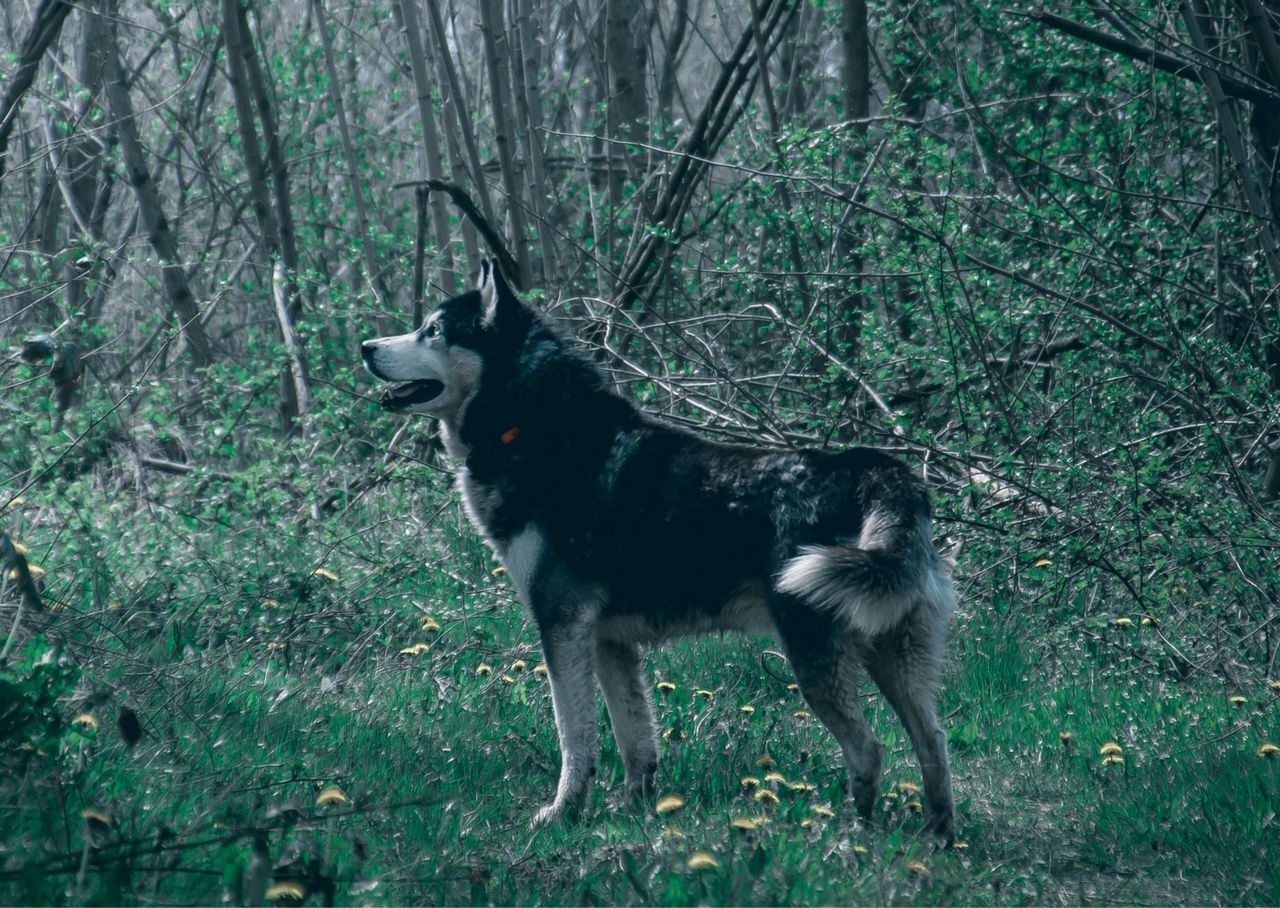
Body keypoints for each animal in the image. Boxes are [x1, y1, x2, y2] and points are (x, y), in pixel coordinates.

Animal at [358, 262, 952, 845]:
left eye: (433, 330)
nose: (365, 346)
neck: (531, 424)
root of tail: (878, 472)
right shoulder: (608, 642)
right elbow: (635, 742)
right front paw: (634, 813)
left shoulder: (561, 624)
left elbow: (575, 736)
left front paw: (563, 813)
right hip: (893, 659)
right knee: (933, 743)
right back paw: (937, 841)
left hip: (815, 656)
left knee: (868, 750)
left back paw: (855, 840)